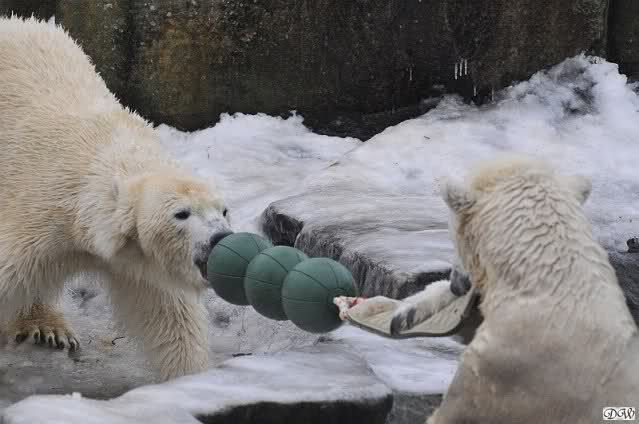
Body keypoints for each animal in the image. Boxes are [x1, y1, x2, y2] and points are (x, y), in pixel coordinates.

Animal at [0, 16, 233, 381]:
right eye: (181, 214)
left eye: (223, 211)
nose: (220, 238)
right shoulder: (38, 213)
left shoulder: (140, 261)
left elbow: (168, 314)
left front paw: (190, 377)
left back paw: (47, 326)